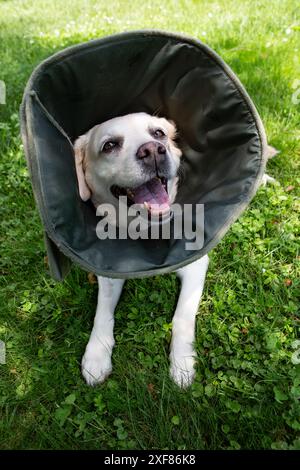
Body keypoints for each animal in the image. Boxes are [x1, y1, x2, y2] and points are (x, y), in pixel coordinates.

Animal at [74, 112, 276, 388]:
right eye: (109, 145)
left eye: (158, 133)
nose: (152, 150)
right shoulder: (109, 271)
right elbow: (102, 313)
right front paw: (96, 355)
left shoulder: (196, 265)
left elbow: (182, 317)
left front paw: (182, 364)